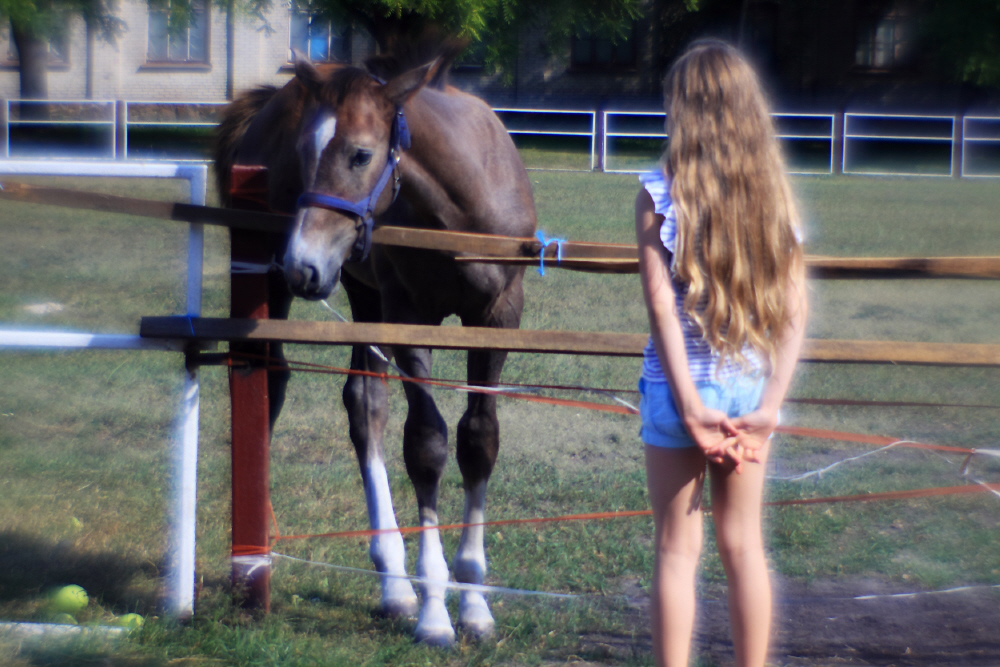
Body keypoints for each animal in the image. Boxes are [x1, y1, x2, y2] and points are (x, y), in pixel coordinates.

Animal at [213, 49, 540, 644]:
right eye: (303, 152)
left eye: (360, 154)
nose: (303, 265)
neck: (458, 209)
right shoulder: (409, 317)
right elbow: (427, 445)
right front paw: (436, 612)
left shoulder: (499, 315)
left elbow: (478, 439)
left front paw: (474, 604)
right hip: (288, 281)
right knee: (273, 381)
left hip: (361, 289)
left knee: (365, 405)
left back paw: (393, 586)